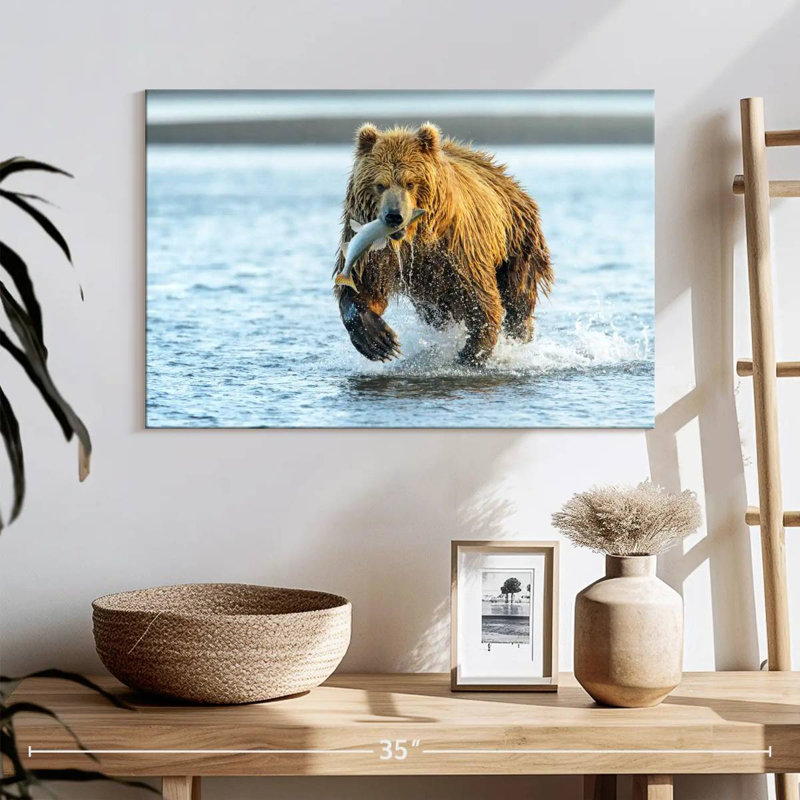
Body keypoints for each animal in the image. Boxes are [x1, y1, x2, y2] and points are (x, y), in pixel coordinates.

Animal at [333, 122, 553, 365]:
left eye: (410, 182)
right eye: (380, 184)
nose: (394, 216)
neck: (413, 239)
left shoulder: (459, 247)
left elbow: (480, 297)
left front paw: (471, 353)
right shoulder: (373, 252)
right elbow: (365, 287)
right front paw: (379, 340)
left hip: (517, 239)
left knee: (518, 294)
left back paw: (520, 333)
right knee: (436, 312)